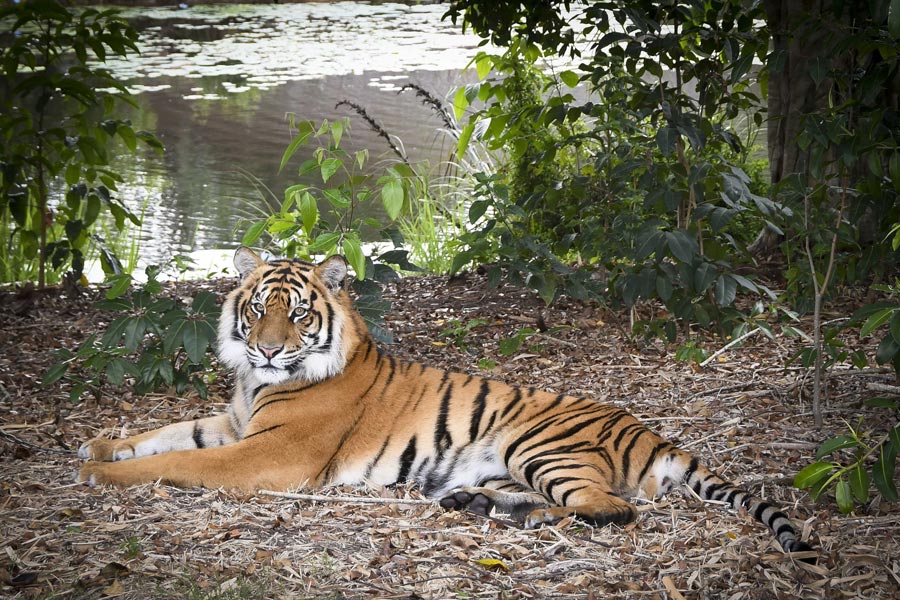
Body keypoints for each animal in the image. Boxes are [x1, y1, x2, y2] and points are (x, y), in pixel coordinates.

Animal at [78, 246, 815, 561]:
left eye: (298, 315)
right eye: (259, 308)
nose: (264, 349)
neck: (257, 385)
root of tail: (648, 429)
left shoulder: (271, 453)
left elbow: (176, 463)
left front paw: (101, 472)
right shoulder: (232, 422)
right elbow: (166, 432)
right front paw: (98, 445)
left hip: (536, 443)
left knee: (612, 509)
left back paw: (526, 518)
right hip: (503, 461)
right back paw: (478, 505)